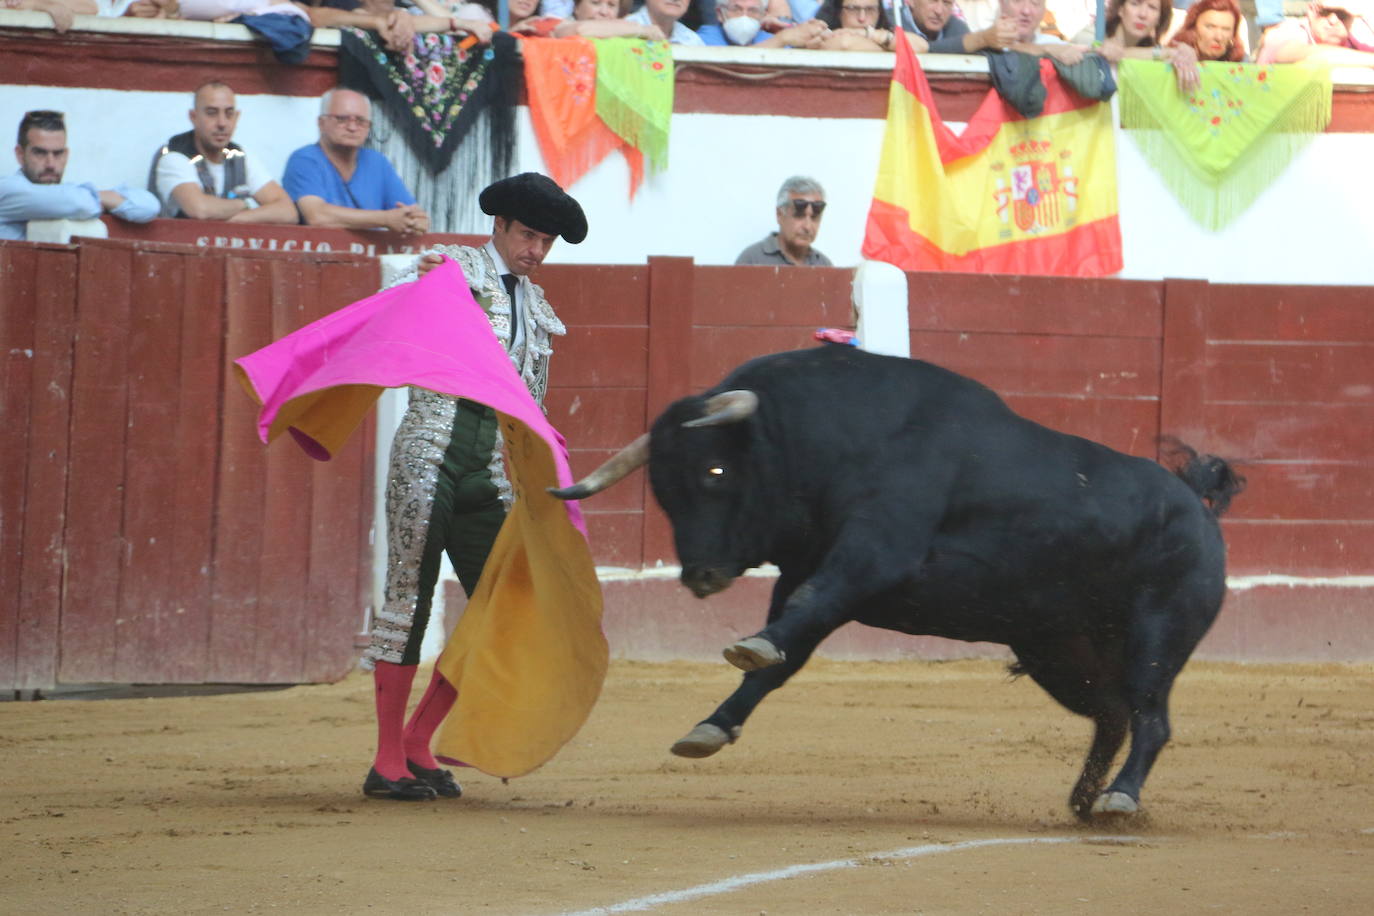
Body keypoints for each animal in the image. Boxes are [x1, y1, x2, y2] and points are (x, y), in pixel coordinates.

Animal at [549, 346, 1247, 823]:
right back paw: (1085, 800)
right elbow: (782, 654)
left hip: (1157, 635)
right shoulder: (817, 572)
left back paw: (1120, 798)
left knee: (1151, 718)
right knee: (1112, 715)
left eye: (715, 471)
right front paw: (711, 727)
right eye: (661, 489)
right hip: (1059, 653)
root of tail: (1197, 505)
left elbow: (796, 619)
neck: (833, 437)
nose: (699, 575)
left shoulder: (873, 556)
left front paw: (748, 649)